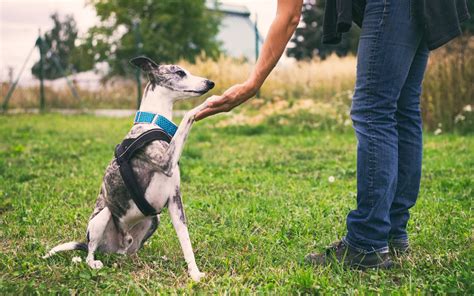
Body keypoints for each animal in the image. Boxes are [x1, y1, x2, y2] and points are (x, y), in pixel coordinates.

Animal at [43, 56, 217, 282]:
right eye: (180, 73)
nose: (210, 83)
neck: (153, 122)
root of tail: (115, 247)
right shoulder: (166, 162)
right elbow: (188, 115)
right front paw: (209, 102)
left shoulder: (174, 199)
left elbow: (185, 239)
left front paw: (194, 273)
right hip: (102, 216)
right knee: (90, 251)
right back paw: (93, 262)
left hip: (153, 220)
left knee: (129, 253)